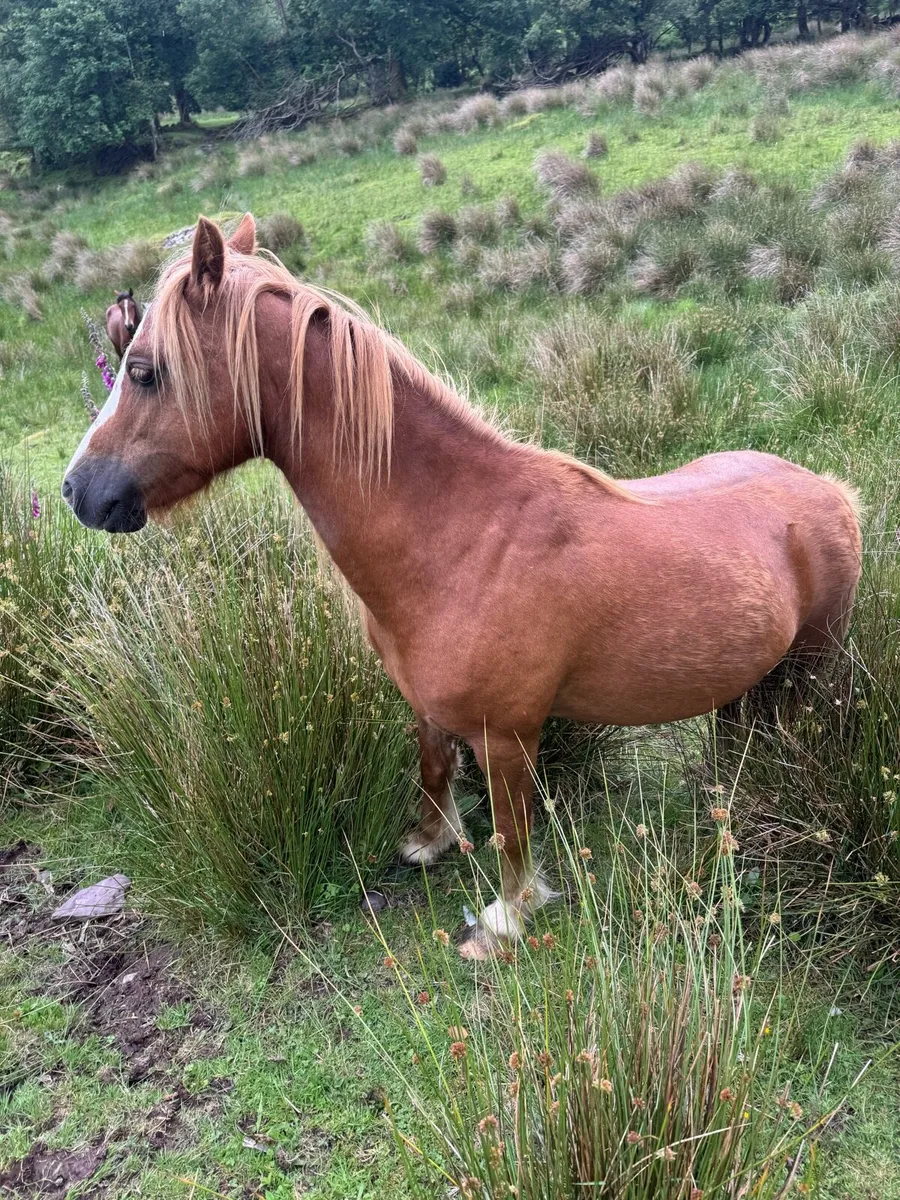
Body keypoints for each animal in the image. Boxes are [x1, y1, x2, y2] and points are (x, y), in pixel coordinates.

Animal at [62, 214, 863, 959]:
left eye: (145, 370)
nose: (78, 491)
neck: (465, 535)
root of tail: (831, 490)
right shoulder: (427, 703)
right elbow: (433, 767)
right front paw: (430, 842)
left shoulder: (507, 736)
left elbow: (511, 830)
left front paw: (505, 920)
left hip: (810, 669)